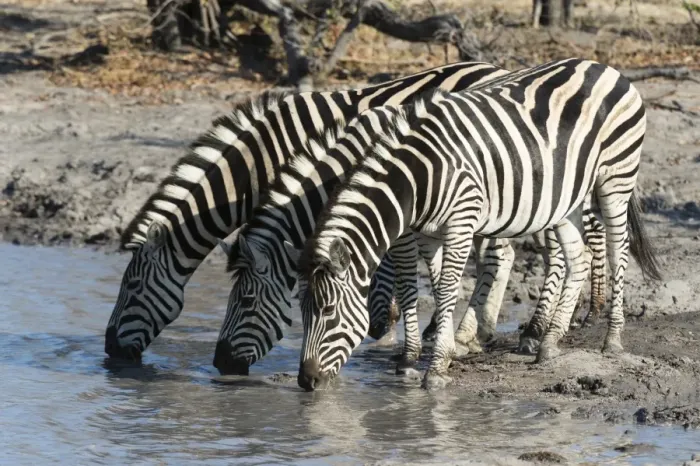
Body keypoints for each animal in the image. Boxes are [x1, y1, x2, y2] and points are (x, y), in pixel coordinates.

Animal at [104, 61, 515, 361]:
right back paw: (479, 328)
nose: (109, 349)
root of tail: (495, 67)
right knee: (502, 251)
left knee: (498, 251)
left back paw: (472, 331)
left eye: (132, 286)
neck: (260, 162)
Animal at [296, 58, 661, 391]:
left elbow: (446, 289)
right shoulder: (426, 232)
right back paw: (549, 343)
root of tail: (603, 66)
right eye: (303, 311)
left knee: (617, 250)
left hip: (616, 178)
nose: (305, 381)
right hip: (567, 198)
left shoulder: (461, 221)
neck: (418, 178)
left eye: (329, 311)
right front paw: (435, 352)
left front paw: (437, 366)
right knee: (578, 259)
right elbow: (427, 287)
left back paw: (612, 339)